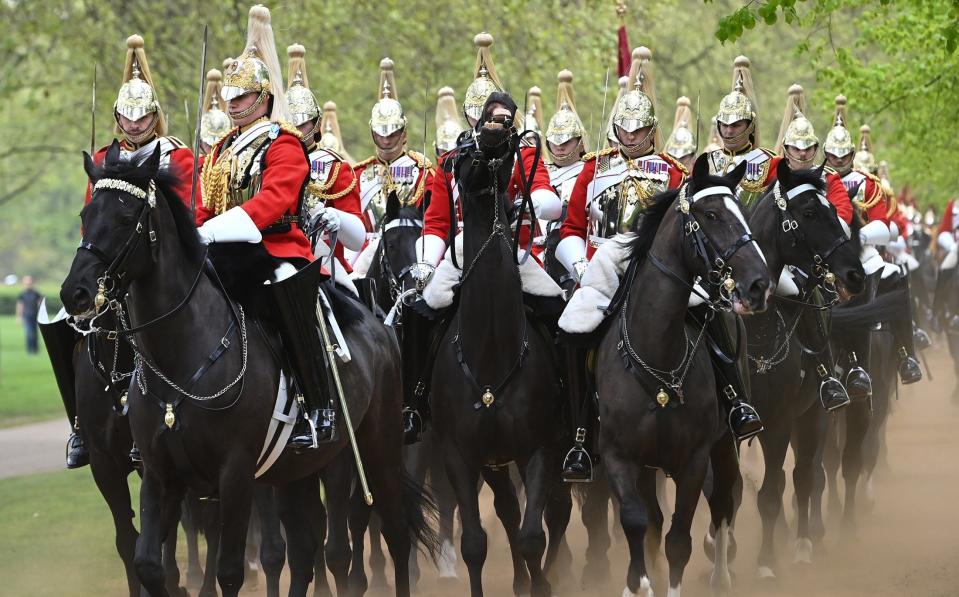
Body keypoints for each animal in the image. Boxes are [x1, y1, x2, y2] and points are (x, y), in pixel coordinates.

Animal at [61, 143, 436, 596]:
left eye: (125, 218)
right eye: (86, 214)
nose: (75, 292)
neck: (181, 359)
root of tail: (379, 326)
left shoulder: (236, 473)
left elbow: (230, 570)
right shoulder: (157, 473)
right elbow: (147, 561)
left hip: (375, 448)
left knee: (391, 534)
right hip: (297, 469)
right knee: (307, 547)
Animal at [434, 109, 568, 592]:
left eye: (506, 132)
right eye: (466, 140)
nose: (487, 146)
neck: (491, 354)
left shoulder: (541, 449)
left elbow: (533, 536)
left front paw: (542, 584)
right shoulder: (459, 455)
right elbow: (475, 542)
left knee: (552, 513)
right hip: (494, 462)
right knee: (508, 510)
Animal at [600, 155, 772, 596]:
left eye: (742, 212)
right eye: (711, 215)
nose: (759, 285)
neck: (657, 357)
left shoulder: (693, 460)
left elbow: (680, 538)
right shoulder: (620, 457)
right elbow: (636, 521)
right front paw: (638, 583)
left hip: (725, 445)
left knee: (724, 500)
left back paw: (721, 575)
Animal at [748, 161, 868, 576]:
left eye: (836, 210)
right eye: (810, 212)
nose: (855, 276)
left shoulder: (781, 419)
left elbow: (774, 491)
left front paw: (766, 563)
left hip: (812, 413)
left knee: (805, 476)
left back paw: (803, 543)